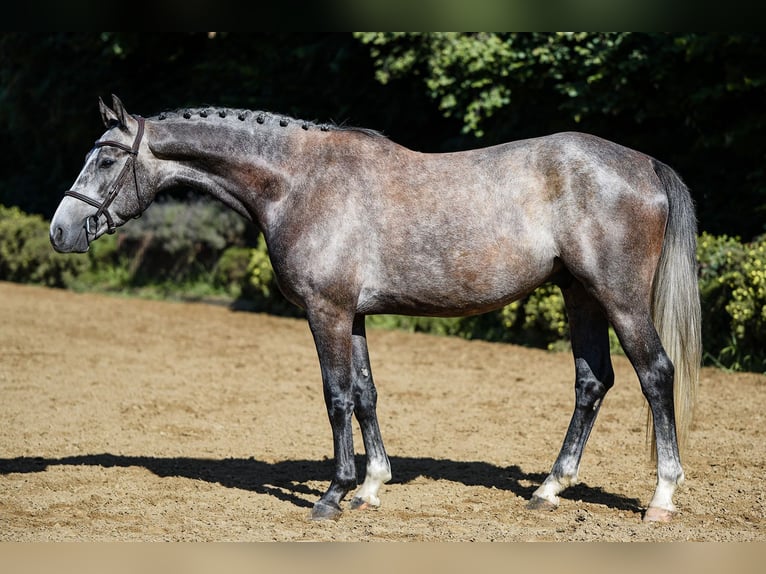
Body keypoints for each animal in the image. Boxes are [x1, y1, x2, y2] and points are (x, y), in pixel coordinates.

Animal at [50, 95, 701, 523]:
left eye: (105, 159)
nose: (60, 231)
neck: (298, 181)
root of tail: (644, 164)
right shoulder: (354, 315)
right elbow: (365, 394)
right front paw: (371, 487)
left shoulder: (327, 312)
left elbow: (336, 396)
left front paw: (333, 496)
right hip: (580, 295)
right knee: (593, 382)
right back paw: (549, 488)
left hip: (617, 298)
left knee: (654, 374)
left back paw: (662, 497)